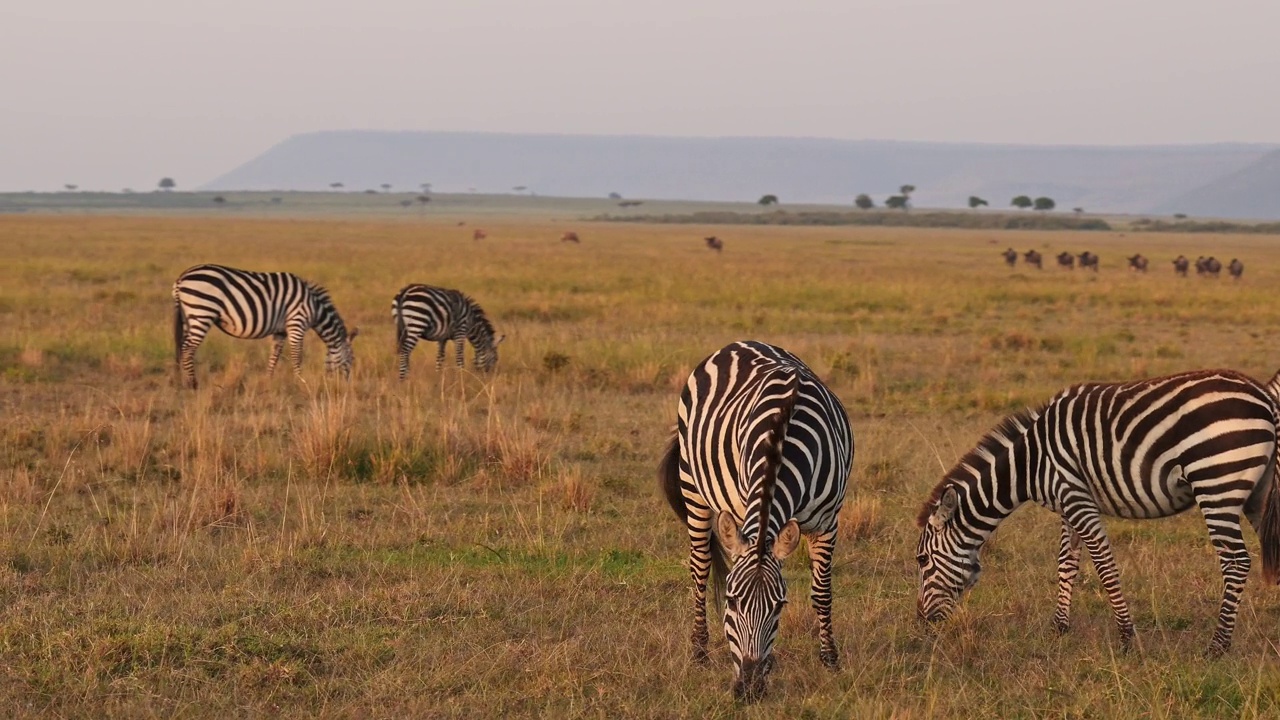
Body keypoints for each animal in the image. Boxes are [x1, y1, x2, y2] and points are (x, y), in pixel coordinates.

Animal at [172, 262, 358, 386]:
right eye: (351, 360)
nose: (346, 386)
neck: (314, 306)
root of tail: (181, 278)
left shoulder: (280, 331)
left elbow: (274, 355)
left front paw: (269, 380)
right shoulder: (296, 323)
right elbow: (297, 355)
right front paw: (301, 381)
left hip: (189, 317)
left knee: (182, 347)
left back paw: (183, 380)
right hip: (202, 312)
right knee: (188, 349)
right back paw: (193, 384)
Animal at [655, 338, 855, 696]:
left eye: (779, 606)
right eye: (732, 602)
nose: (748, 688)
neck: (782, 440)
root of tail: (740, 343)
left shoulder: (829, 521)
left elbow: (822, 592)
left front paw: (830, 660)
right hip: (693, 487)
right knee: (700, 568)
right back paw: (699, 652)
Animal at [911, 366, 1280, 653]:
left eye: (922, 560)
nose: (922, 622)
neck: (1029, 463)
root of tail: (1263, 395)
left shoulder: (1074, 495)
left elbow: (1104, 566)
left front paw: (1127, 638)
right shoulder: (1067, 503)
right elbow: (1066, 562)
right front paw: (1059, 628)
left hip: (1217, 484)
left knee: (1236, 562)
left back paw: (1217, 646)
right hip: (1257, 495)